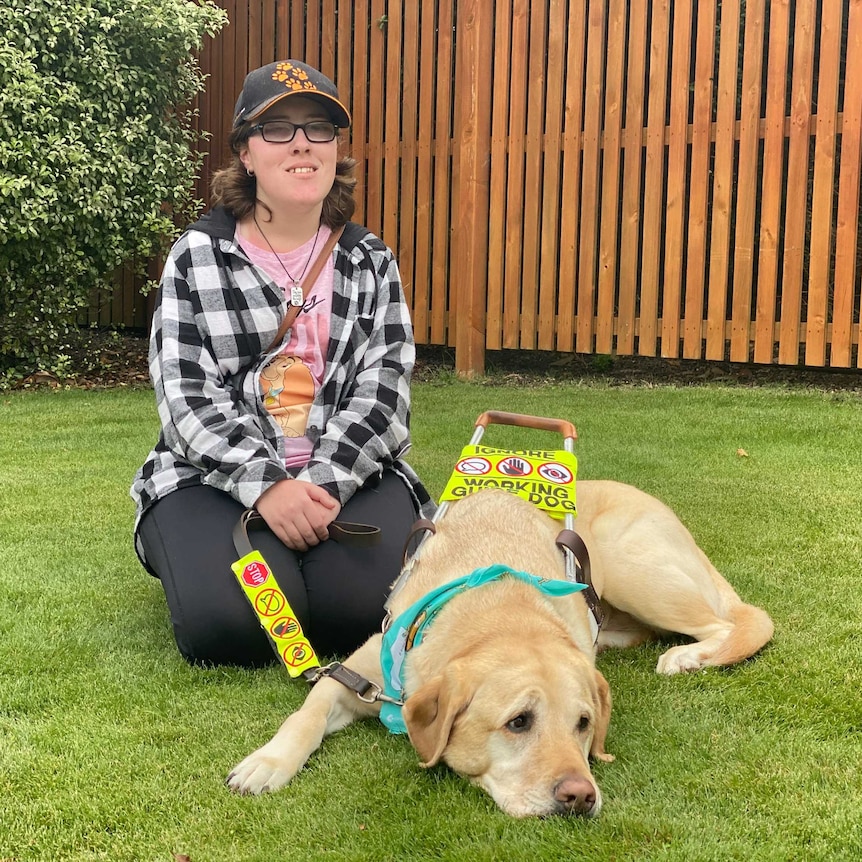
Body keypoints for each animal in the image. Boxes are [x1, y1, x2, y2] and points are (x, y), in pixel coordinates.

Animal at [228, 482, 776, 820]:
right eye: (519, 722)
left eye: (583, 724)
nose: (580, 796)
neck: (499, 608)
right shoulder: (354, 676)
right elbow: (306, 714)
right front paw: (267, 762)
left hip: (635, 569)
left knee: (739, 621)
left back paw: (688, 656)